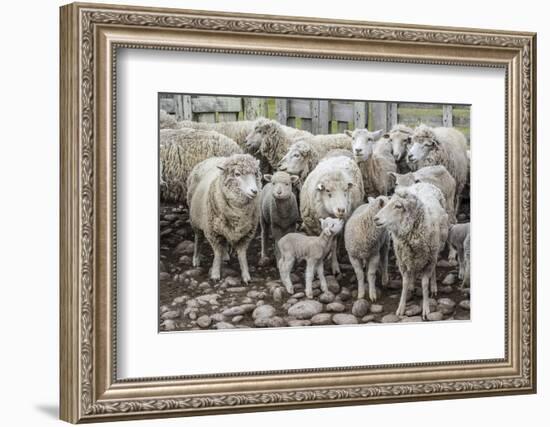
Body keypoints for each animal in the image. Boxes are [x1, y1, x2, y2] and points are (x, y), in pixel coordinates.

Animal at [187, 154, 262, 284]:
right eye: (237, 174)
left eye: (255, 173)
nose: (254, 191)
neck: (238, 212)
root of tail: (213, 157)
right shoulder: (212, 232)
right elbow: (217, 254)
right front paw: (215, 274)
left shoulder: (246, 234)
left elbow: (242, 255)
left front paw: (246, 275)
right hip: (196, 219)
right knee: (198, 239)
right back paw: (196, 259)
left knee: (224, 242)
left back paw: (226, 255)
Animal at [374, 182, 450, 320]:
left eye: (398, 206)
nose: (375, 218)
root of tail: (425, 183)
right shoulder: (403, 261)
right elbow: (404, 283)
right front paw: (401, 307)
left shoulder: (429, 260)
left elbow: (424, 284)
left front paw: (426, 309)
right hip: (413, 256)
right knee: (413, 271)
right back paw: (412, 285)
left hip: (436, 248)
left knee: (434, 268)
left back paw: (433, 286)